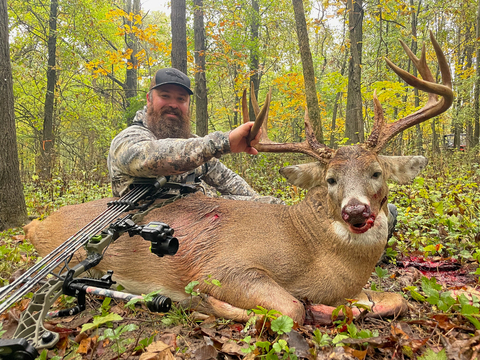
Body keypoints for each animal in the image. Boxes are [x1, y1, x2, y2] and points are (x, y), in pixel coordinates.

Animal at [24, 33, 452, 324]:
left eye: (376, 172)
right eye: (330, 179)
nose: (356, 211)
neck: (311, 252)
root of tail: (34, 223)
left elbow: (397, 300)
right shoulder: (223, 266)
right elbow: (292, 308)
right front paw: (201, 303)